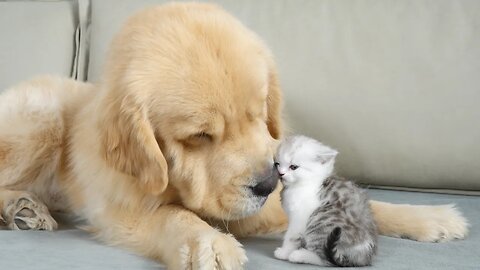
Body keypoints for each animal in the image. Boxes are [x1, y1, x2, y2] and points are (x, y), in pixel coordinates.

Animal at [274, 136, 378, 266]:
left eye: (293, 167)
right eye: (277, 164)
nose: (280, 173)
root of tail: (363, 257)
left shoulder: (300, 217)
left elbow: (292, 236)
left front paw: (284, 252)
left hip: (320, 221)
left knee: (324, 259)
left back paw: (300, 255)